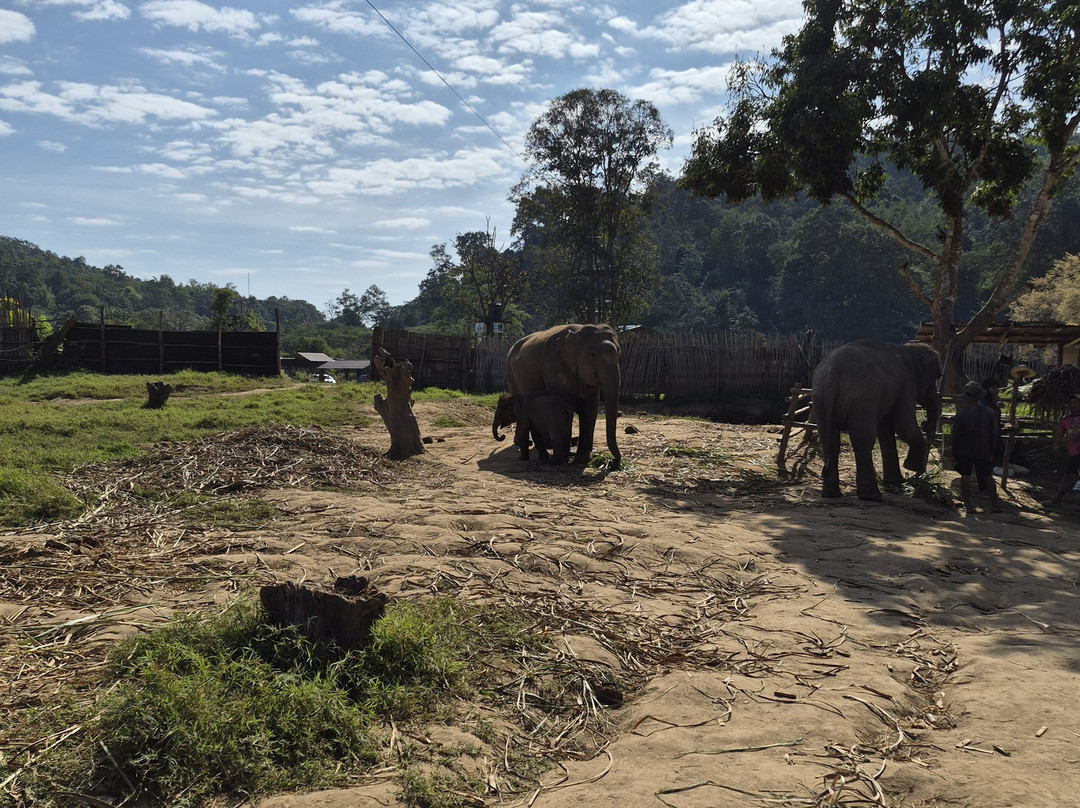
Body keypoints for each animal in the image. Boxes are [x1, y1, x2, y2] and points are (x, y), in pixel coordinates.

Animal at [505, 324, 621, 469]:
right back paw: (523, 443)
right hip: (510, 373)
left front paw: (582, 457)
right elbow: (564, 408)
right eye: (592, 355)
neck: (578, 331)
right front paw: (567, 455)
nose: (613, 463)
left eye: (619, 352)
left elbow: (590, 410)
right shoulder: (553, 369)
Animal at [811, 339, 942, 501]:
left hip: (819, 399)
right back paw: (873, 496)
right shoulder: (907, 383)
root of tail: (831, 378)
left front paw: (896, 482)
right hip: (862, 397)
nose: (925, 424)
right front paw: (912, 468)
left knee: (830, 439)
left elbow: (886, 429)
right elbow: (903, 425)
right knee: (863, 440)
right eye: (936, 377)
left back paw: (831, 494)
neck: (909, 348)